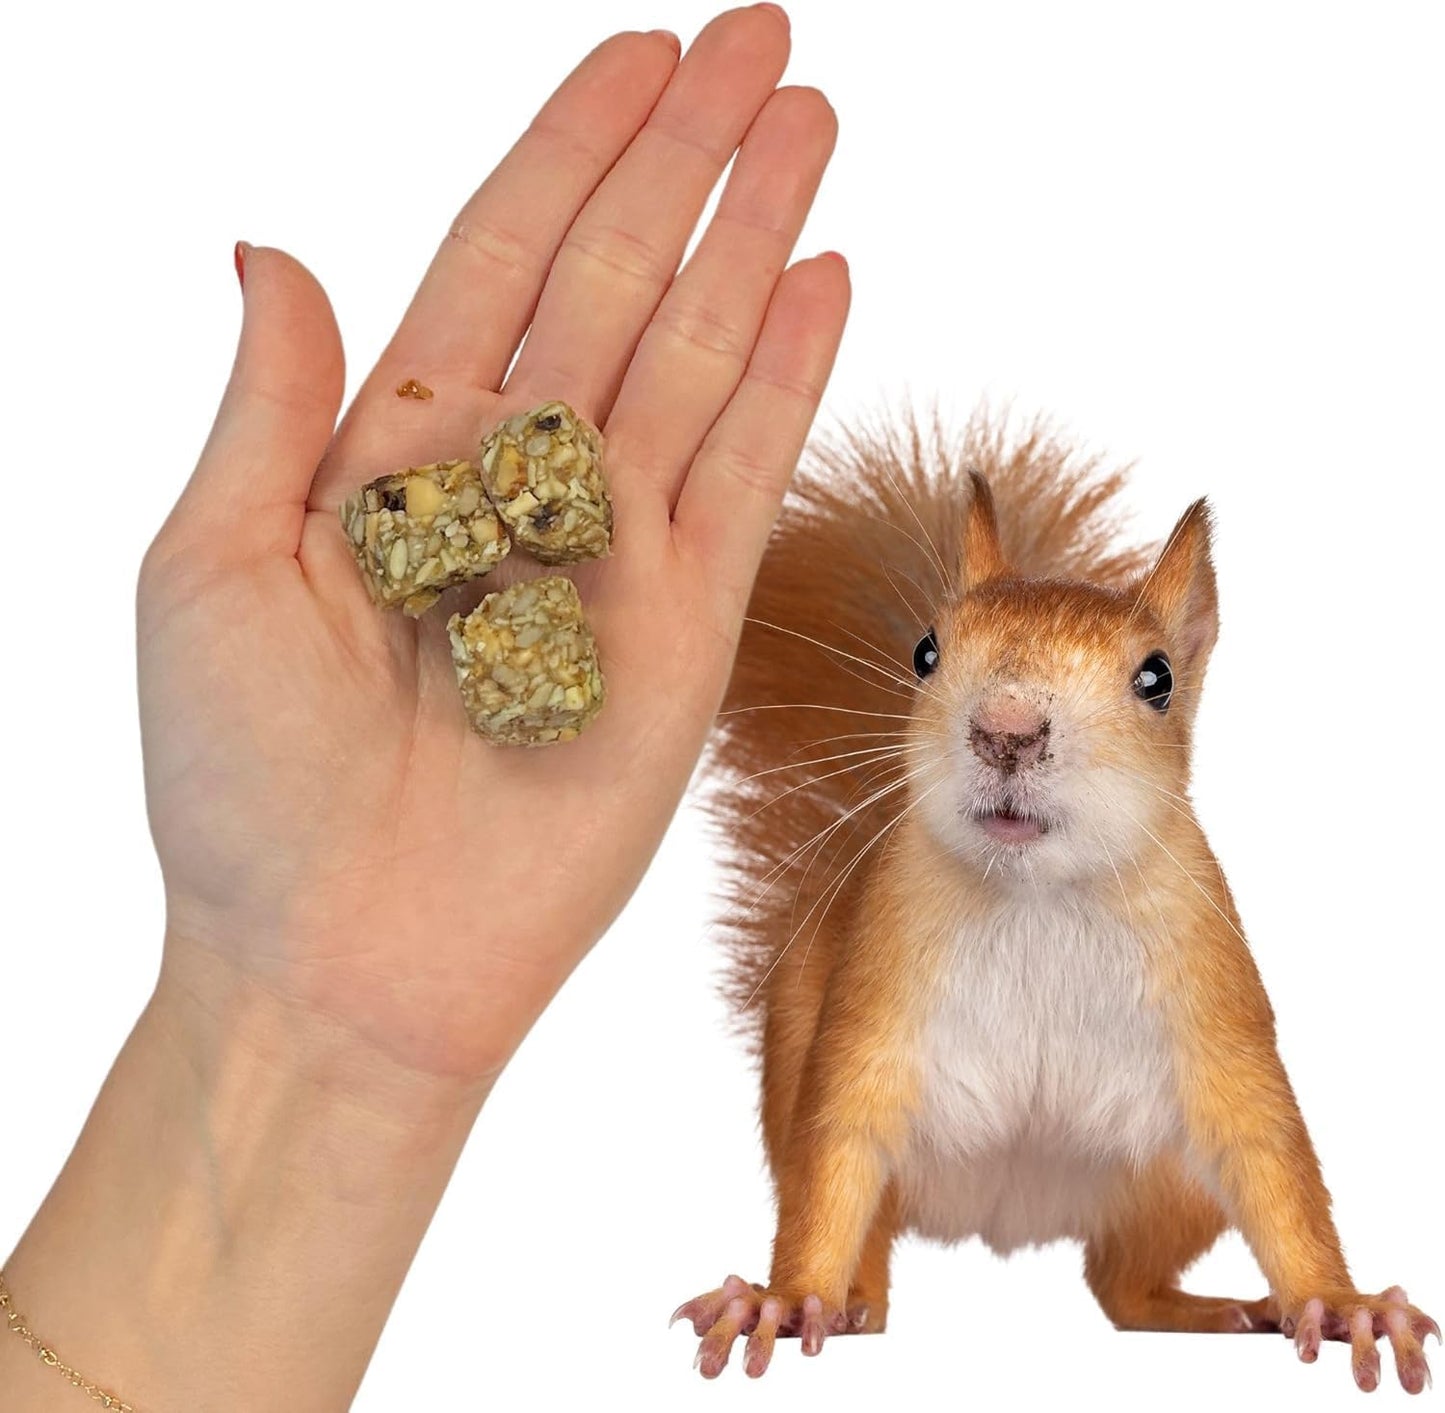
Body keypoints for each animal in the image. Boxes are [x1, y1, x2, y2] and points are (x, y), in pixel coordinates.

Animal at [670, 413, 1438, 1392]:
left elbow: (1268, 1156)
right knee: (873, 1262)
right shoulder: (873, 1003)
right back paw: (841, 1307)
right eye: (925, 651)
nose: (1005, 728)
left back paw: (1218, 1309)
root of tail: (1011, 1215)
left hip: (1167, 1187)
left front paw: (1339, 1304)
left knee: (1123, 1284)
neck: (1034, 894)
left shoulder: (1215, 998)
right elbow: (840, 1143)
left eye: (1156, 678)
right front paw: (785, 1297)